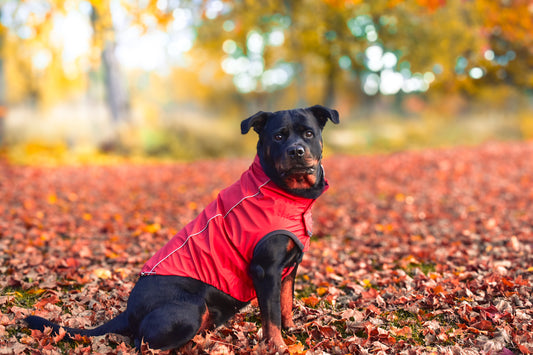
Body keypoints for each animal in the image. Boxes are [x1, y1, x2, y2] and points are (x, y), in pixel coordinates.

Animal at [25, 105, 338, 354]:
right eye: (278, 136)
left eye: (308, 134)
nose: (296, 151)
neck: (288, 195)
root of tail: (129, 311)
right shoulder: (266, 269)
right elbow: (270, 315)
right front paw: (278, 345)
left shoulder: (289, 268)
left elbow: (285, 304)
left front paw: (291, 331)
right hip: (190, 307)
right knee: (143, 344)